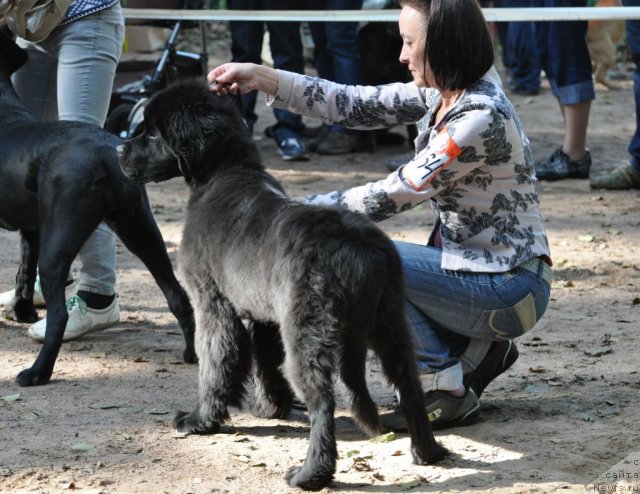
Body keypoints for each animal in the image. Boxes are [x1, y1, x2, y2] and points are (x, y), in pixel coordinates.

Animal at [0, 29, 195, 386]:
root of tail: (107, 151)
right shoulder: (31, 228)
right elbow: (23, 272)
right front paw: (23, 312)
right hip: (141, 231)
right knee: (177, 295)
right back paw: (192, 354)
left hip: (59, 243)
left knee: (59, 316)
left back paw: (37, 372)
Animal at [117, 80, 444, 490]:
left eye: (152, 133)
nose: (118, 149)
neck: (224, 172)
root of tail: (358, 247)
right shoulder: (265, 315)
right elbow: (264, 360)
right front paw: (271, 406)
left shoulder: (211, 303)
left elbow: (216, 361)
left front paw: (199, 420)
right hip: (389, 320)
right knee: (409, 382)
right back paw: (427, 452)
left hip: (307, 333)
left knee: (323, 401)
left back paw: (310, 473)